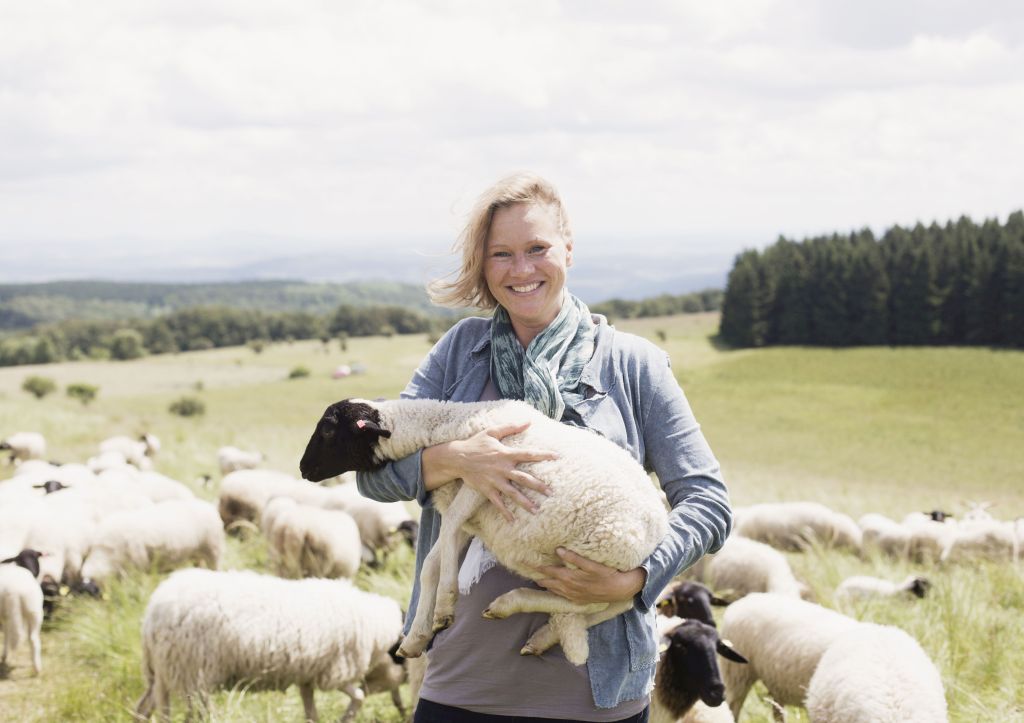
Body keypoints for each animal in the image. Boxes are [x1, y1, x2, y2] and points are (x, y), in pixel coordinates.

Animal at [134, 569, 405, 720]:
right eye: (401, 658)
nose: (402, 709)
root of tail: (154, 612)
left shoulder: (307, 676)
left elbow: (311, 713)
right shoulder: (334, 673)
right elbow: (359, 696)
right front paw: (346, 718)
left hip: (161, 672)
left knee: (142, 709)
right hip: (192, 672)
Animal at [296, 397, 667, 663]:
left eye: (328, 430)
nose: (302, 468)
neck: (444, 426)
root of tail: (658, 527)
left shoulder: (483, 478)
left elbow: (445, 535)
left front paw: (445, 605)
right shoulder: (472, 509)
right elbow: (430, 563)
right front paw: (417, 637)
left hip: (594, 557)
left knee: (589, 603)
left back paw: (510, 604)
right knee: (614, 605)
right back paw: (542, 636)